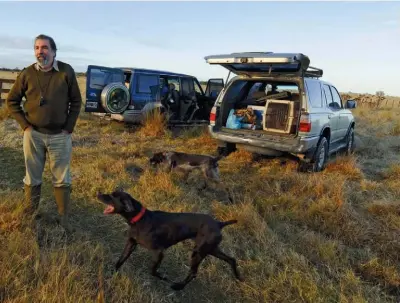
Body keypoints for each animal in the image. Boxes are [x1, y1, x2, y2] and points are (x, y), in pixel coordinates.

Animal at [97, 190, 244, 292]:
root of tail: (219, 223)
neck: (140, 219)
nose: (98, 193)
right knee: (231, 259)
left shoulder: (158, 252)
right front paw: (112, 273)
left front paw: (164, 278)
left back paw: (178, 287)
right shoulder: (131, 244)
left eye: (112, 196)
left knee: (193, 273)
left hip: (198, 253)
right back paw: (238, 278)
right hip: (211, 249)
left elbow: (152, 270)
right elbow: (120, 260)